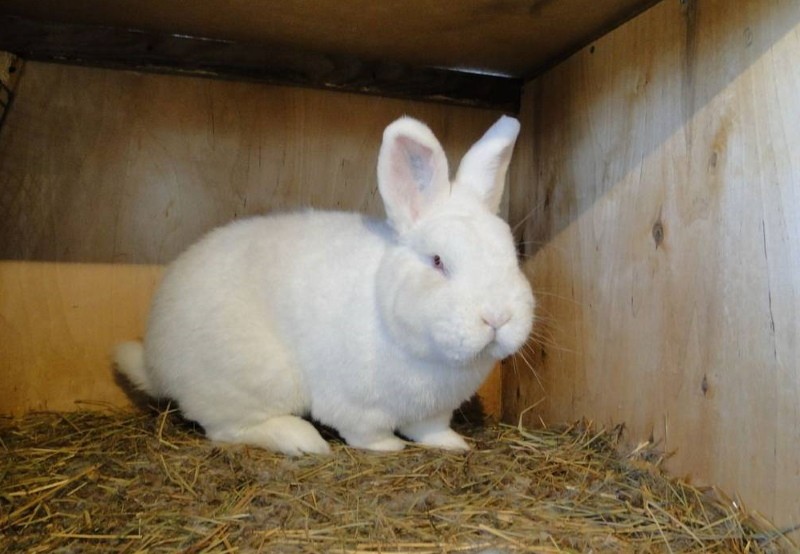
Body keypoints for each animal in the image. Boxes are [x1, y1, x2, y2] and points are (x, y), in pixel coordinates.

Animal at [112, 115, 536, 452]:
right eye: (437, 262)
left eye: (512, 254)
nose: (497, 318)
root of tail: (156, 361)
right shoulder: (357, 407)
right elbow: (369, 434)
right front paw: (390, 447)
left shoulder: (433, 411)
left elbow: (430, 430)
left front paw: (454, 444)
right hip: (256, 378)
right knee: (228, 429)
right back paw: (304, 441)